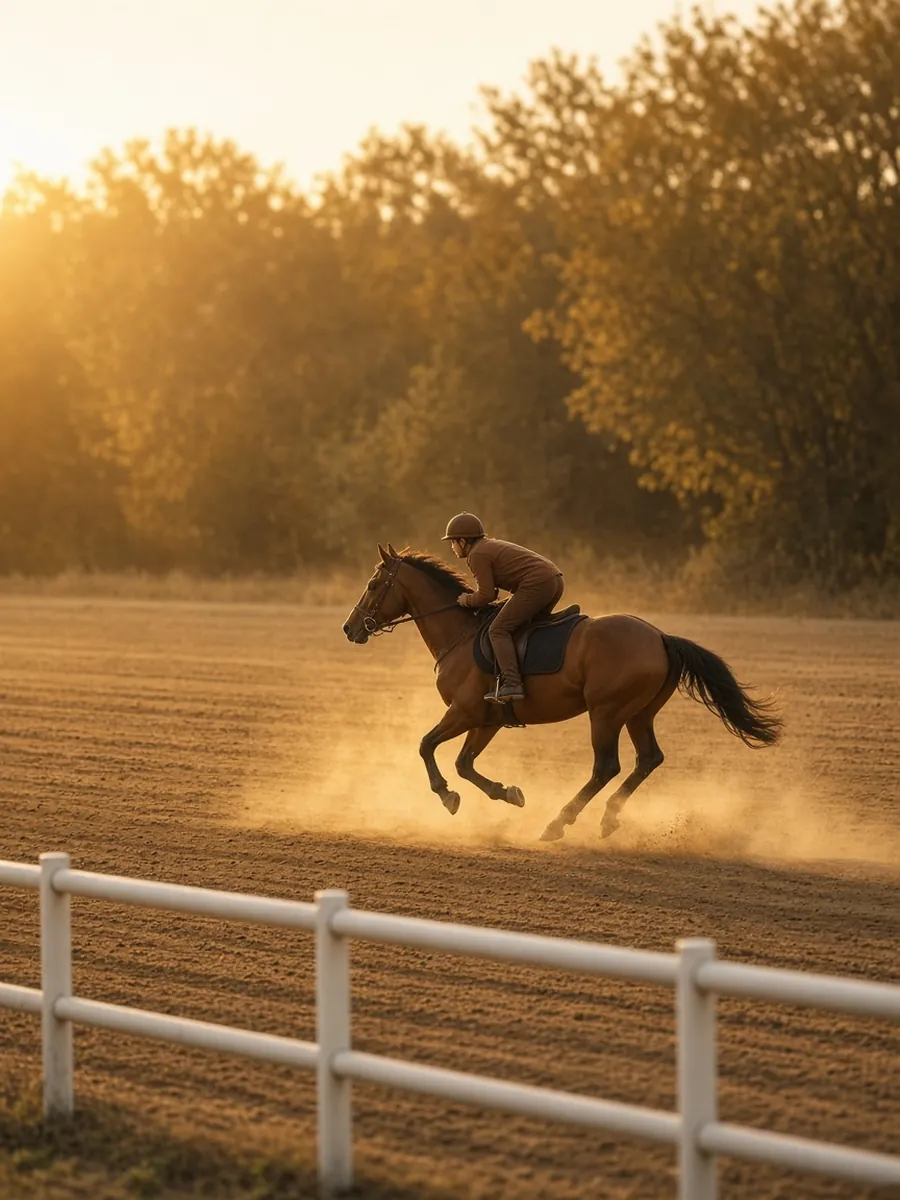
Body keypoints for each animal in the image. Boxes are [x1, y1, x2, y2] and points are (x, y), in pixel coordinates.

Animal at [342, 544, 782, 841]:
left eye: (374, 584)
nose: (350, 628)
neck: (459, 634)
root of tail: (660, 636)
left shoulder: (462, 712)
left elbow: (426, 746)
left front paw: (447, 796)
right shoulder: (488, 720)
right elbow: (465, 764)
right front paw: (508, 793)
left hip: (606, 712)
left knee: (606, 766)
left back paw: (558, 822)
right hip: (639, 714)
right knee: (648, 759)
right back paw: (608, 818)